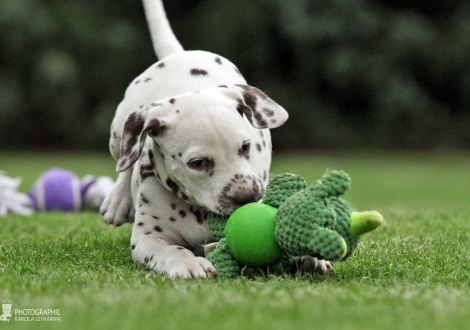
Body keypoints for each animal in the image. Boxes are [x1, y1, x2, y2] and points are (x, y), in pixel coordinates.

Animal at [101, 0, 330, 278]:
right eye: (198, 163)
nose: (246, 196)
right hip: (119, 131)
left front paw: (308, 253)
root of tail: (180, 53)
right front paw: (189, 263)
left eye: (246, 147)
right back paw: (118, 200)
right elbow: (171, 249)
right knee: (125, 159)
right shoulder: (148, 239)